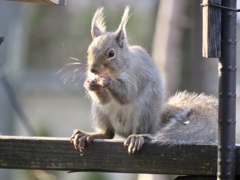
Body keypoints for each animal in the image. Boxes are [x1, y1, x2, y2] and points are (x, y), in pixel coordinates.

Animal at [69, 6, 218, 153]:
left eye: (111, 53)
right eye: (88, 51)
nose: (93, 70)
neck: (116, 71)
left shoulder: (136, 76)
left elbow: (127, 94)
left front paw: (106, 82)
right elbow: (104, 100)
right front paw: (89, 84)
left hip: (145, 111)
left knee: (139, 130)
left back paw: (137, 137)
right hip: (100, 112)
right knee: (108, 133)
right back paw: (88, 135)